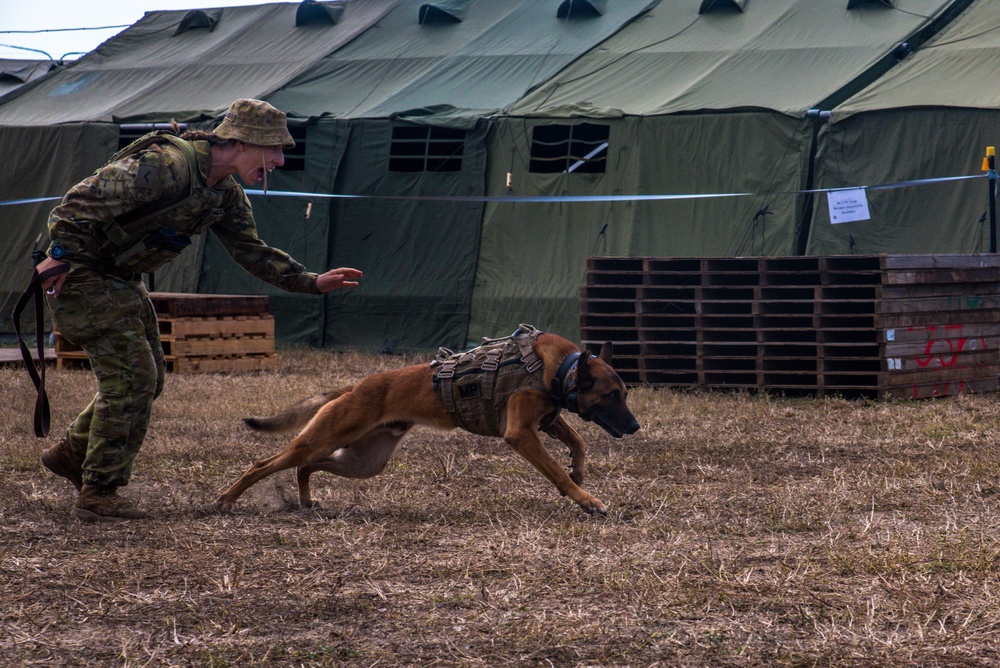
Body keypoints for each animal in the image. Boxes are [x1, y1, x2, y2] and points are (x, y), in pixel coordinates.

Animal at [217, 326, 640, 516]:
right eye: (611, 396)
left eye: (625, 394)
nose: (636, 427)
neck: (559, 370)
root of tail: (356, 385)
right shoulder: (521, 434)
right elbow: (555, 471)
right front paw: (586, 498)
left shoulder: (547, 421)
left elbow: (577, 443)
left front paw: (579, 471)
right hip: (324, 439)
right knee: (263, 464)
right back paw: (226, 499)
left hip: (364, 461)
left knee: (305, 467)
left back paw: (305, 499)